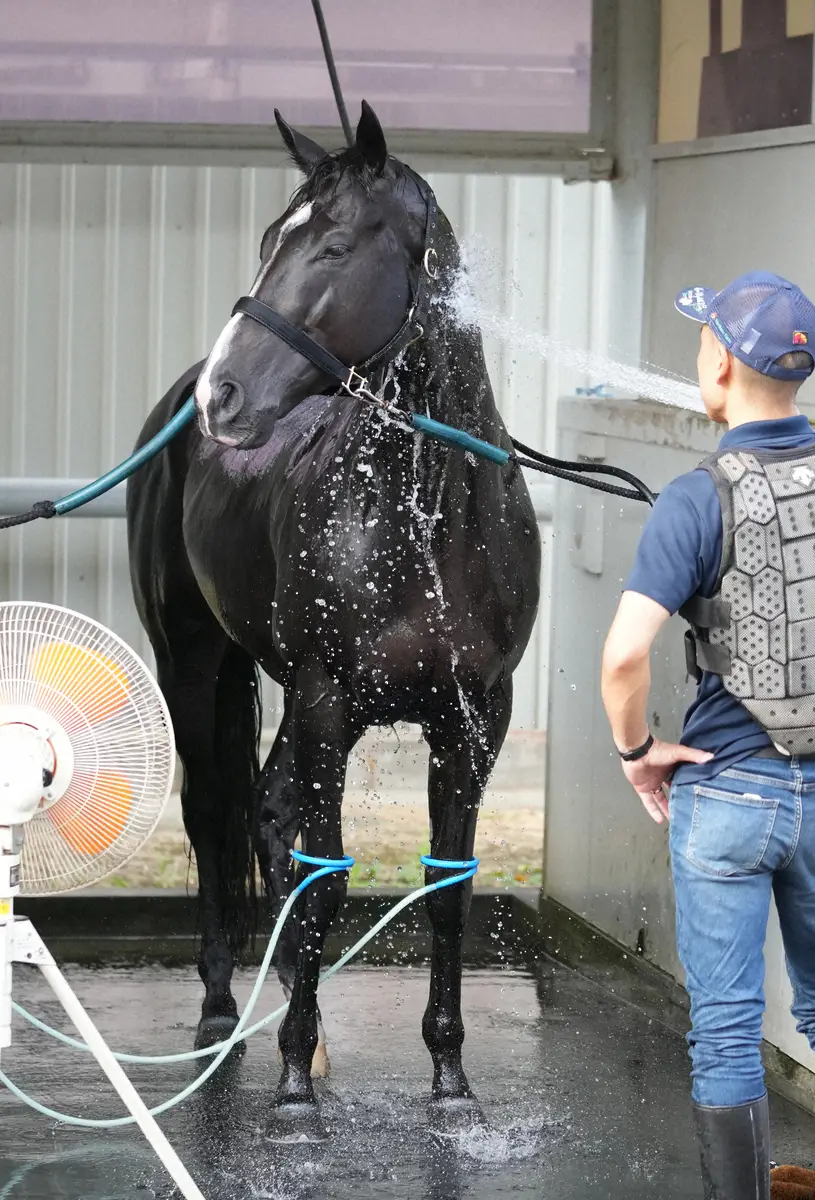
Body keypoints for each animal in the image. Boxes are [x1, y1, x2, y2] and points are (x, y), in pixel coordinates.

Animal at [129, 100, 542, 1123]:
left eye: (335, 245)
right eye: (270, 241)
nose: (224, 396)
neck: (425, 519)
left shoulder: (475, 719)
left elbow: (445, 895)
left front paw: (450, 1083)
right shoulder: (324, 699)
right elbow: (323, 885)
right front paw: (290, 1096)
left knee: (270, 815)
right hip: (195, 666)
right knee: (214, 815)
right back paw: (224, 1012)